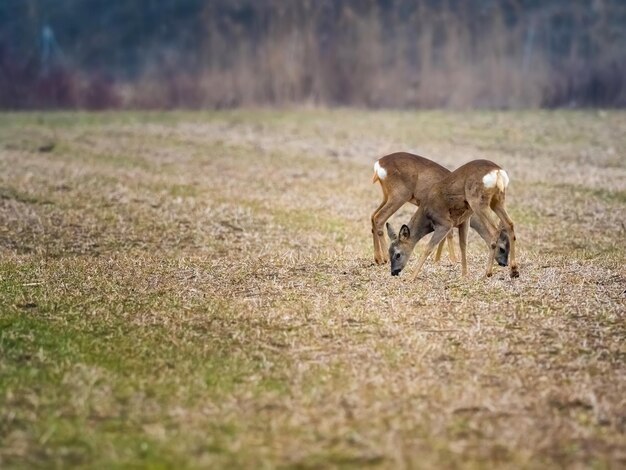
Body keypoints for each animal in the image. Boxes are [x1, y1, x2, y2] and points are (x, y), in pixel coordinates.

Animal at [370, 152, 508, 266]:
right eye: (501, 247)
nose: (504, 263)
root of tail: (379, 164)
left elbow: (444, 237)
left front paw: (437, 260)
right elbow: (449, 235)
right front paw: (453, 260)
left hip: (387, 197)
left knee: (373, 216)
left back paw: (378, 258)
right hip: (398, 197)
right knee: (379, 218)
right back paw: (385, 259)